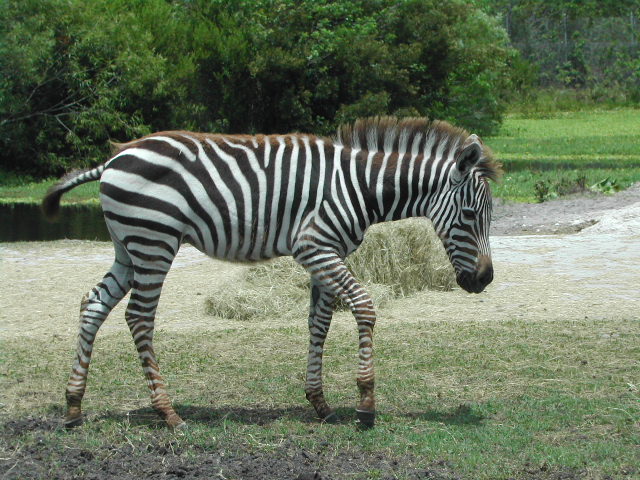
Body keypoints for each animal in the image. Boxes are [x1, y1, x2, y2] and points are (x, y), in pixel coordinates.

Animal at [42, 115, 502, 428]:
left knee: (93, 304)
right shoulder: (314, 246)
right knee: (138, 317)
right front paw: (365, 403)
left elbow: (319, 323)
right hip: (154, 241)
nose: (484, 280)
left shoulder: (327, 253)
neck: (359, 188)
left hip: (128, 246)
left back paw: (74, 406)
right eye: (469, 215)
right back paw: (168, 413)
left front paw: (319, 403)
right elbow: (364, 307)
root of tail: (113, 159)